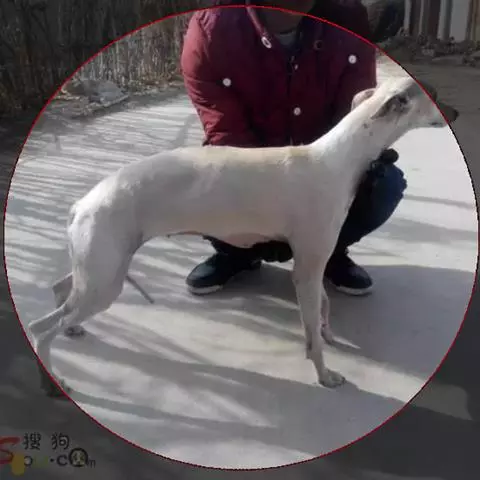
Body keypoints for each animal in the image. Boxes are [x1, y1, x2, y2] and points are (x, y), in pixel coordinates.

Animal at [26, 76, 458, 396]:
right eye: (433, 96)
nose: (455, 112)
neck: (335, 158)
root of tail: (82, 202)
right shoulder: (307, 267)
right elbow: (313, 332)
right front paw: (324, 374)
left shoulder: (314, 263)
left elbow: (321, 309)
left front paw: (326, 333)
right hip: (105, 281)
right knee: (40, 329)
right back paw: (54, 377)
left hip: (98, 268)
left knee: (60, 288)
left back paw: (72, 329)